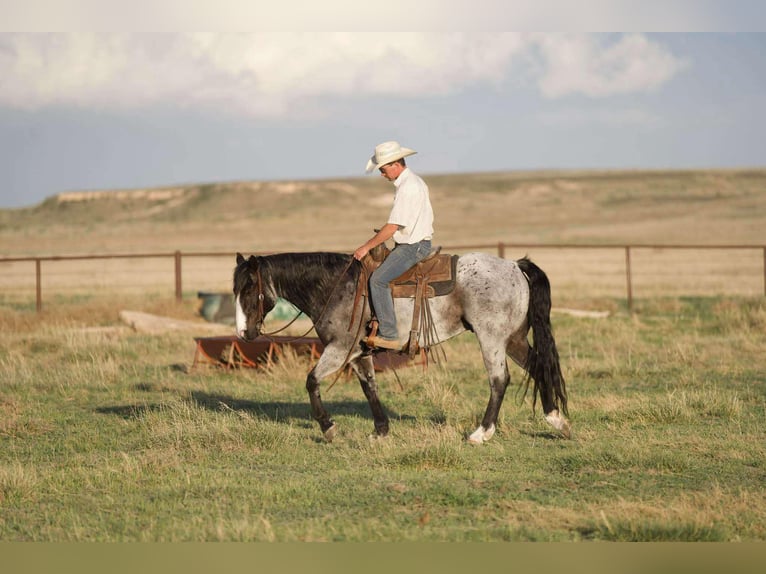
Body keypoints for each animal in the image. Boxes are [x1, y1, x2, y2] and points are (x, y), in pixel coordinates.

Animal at [233, 251, 570, 444]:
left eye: (249, 287)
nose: (243, 332)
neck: (336, 286)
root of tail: (514, 265)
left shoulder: (339, 350)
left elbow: (311, 380)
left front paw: (328, 427)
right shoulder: (358, 353)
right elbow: (370, 388)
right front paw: (380, 430)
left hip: (491, 338)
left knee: (499, 380)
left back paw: (481, 433)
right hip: (513, 338)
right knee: (538, 366)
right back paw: (556, 419)